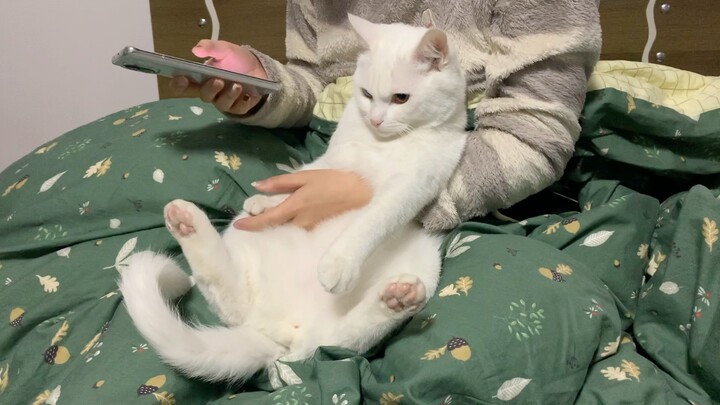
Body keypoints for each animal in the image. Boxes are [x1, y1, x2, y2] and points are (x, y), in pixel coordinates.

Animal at [118, 15, 466, 382]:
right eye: (367, 94)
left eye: (401, 98)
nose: (375, 119)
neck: (381, 144)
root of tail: (276, 332)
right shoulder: (337, 159)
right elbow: (308, 175)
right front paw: (265, 200)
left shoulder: (410, 188)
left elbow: (371, 221)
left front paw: (339, 261)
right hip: (245, 243)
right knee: (235, 300)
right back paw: (187, 222)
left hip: (422, 265)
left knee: (335, 341)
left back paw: (397, 299)